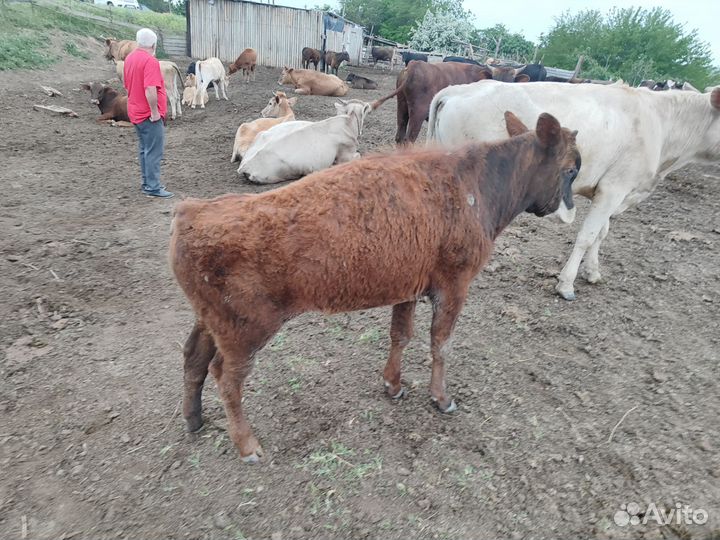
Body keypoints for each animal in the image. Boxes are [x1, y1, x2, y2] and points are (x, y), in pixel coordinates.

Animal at [170, 111, 580, 462]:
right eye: (571, 169)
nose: (565, 209)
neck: (473, 184)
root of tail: (194, 211)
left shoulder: (410, 289)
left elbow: (401, 335)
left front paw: (393, 385)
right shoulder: (454, 286)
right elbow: (440, 343)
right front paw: (441, 397)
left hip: (210, 321)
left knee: (194, 358)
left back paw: (194, 419)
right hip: (245, 332)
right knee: (227, 378)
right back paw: (247, 445)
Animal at [428, 80, 720, 300]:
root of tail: (455, 89)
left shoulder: (609, 192)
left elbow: (602, 232)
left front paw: (592, 271)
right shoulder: (615, 187)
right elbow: (586, 236)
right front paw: (566, 283)